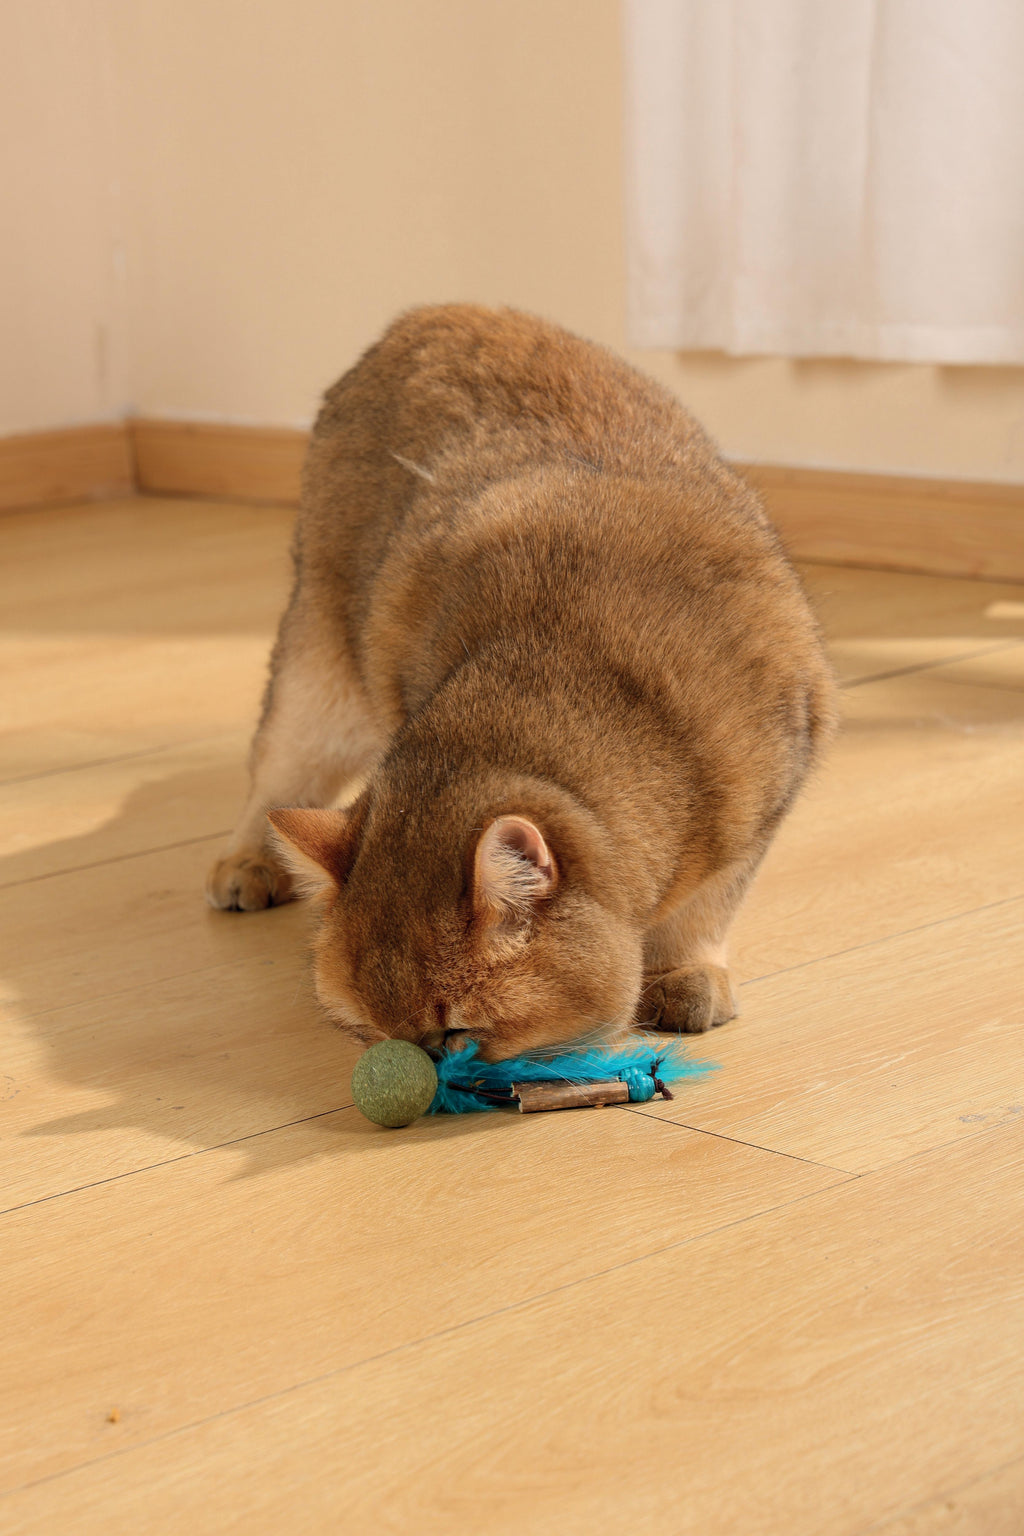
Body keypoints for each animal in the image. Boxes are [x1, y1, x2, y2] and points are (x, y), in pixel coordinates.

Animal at [205, 305, 835, 1062]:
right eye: (369, 1033)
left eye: (458, 1031)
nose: (420, 1066)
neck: (584, 673)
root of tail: (429, 314)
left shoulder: (768, 797)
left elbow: (707, 907)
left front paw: (685, 970)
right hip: (319, 676)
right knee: (278, 773)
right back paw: (248, 860)